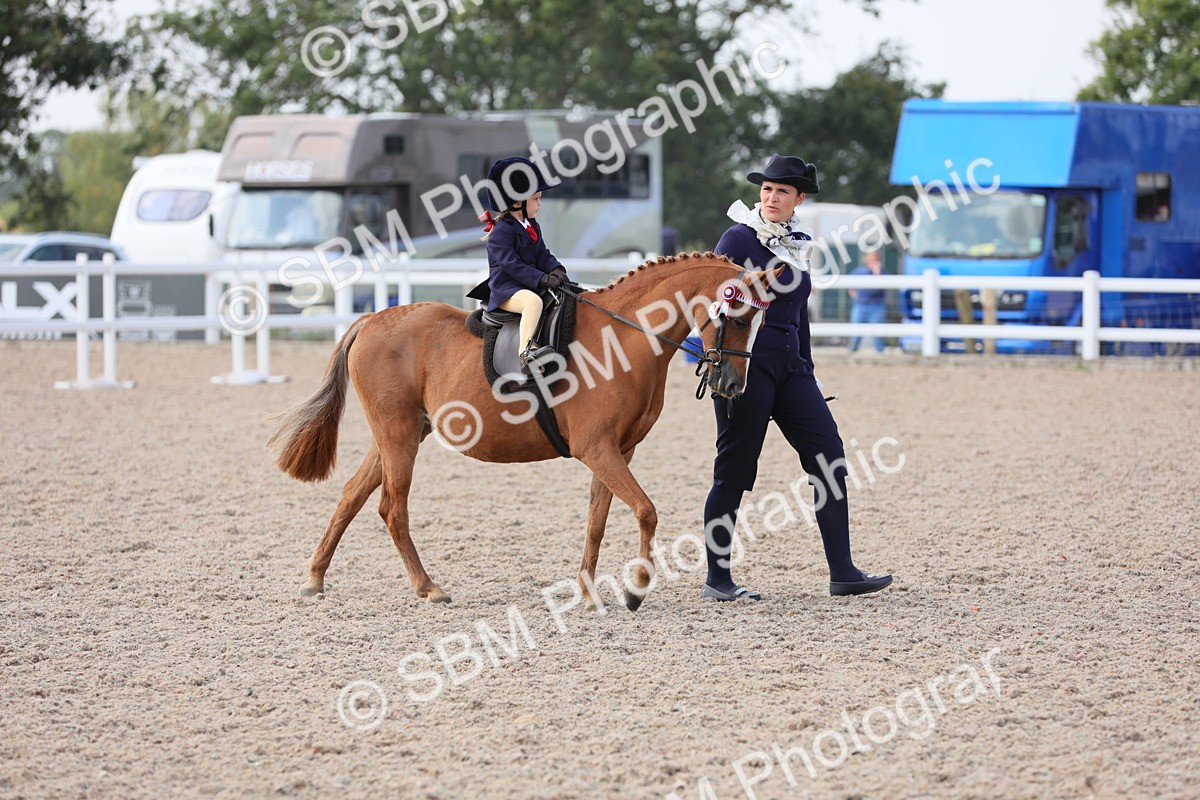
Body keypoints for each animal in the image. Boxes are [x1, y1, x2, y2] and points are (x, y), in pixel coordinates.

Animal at [268, 252, 779, 611]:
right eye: (736, 317)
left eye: (759, 322)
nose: (733, 386)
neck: (624, 337)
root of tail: (372, 319)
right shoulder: (597, 449)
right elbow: (646, 511)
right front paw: (636, 589)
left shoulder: (618, 451)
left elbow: (597, 522)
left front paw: (589, 593)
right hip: (397, 436)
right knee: (392, 508)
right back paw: (429, 588)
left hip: (401, 434)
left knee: (352, 495)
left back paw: (315, 578)